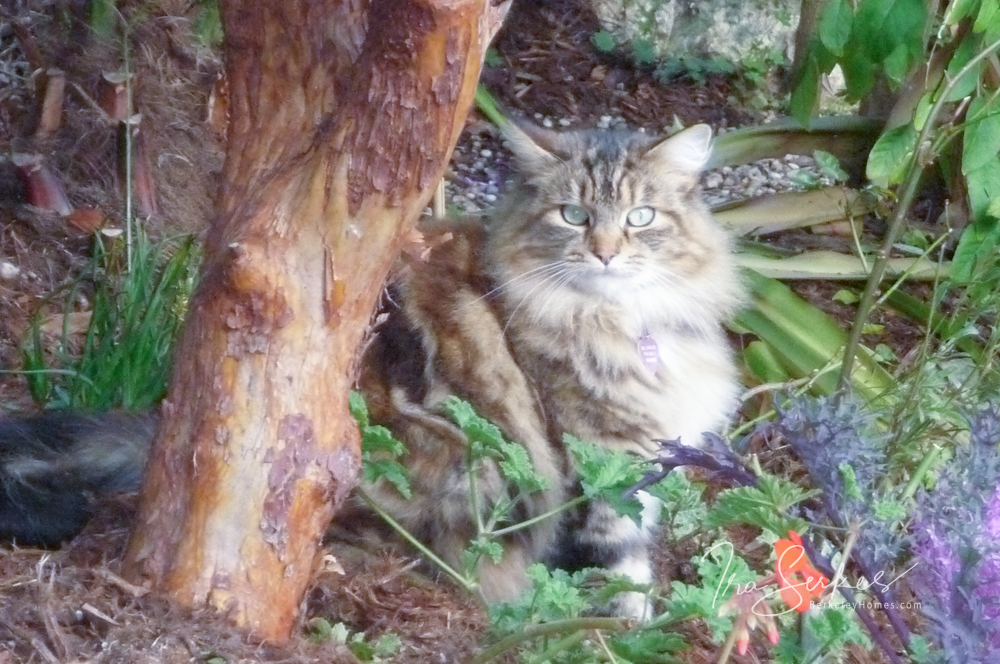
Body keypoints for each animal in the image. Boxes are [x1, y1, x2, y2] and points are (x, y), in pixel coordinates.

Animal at [0, 123, 736, 616]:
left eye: (640, 217)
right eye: (574, 215)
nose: (607, 252)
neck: (615, 322)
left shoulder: (646, 464)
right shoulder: (602, 470)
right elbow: (620, 580)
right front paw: (616, 633)